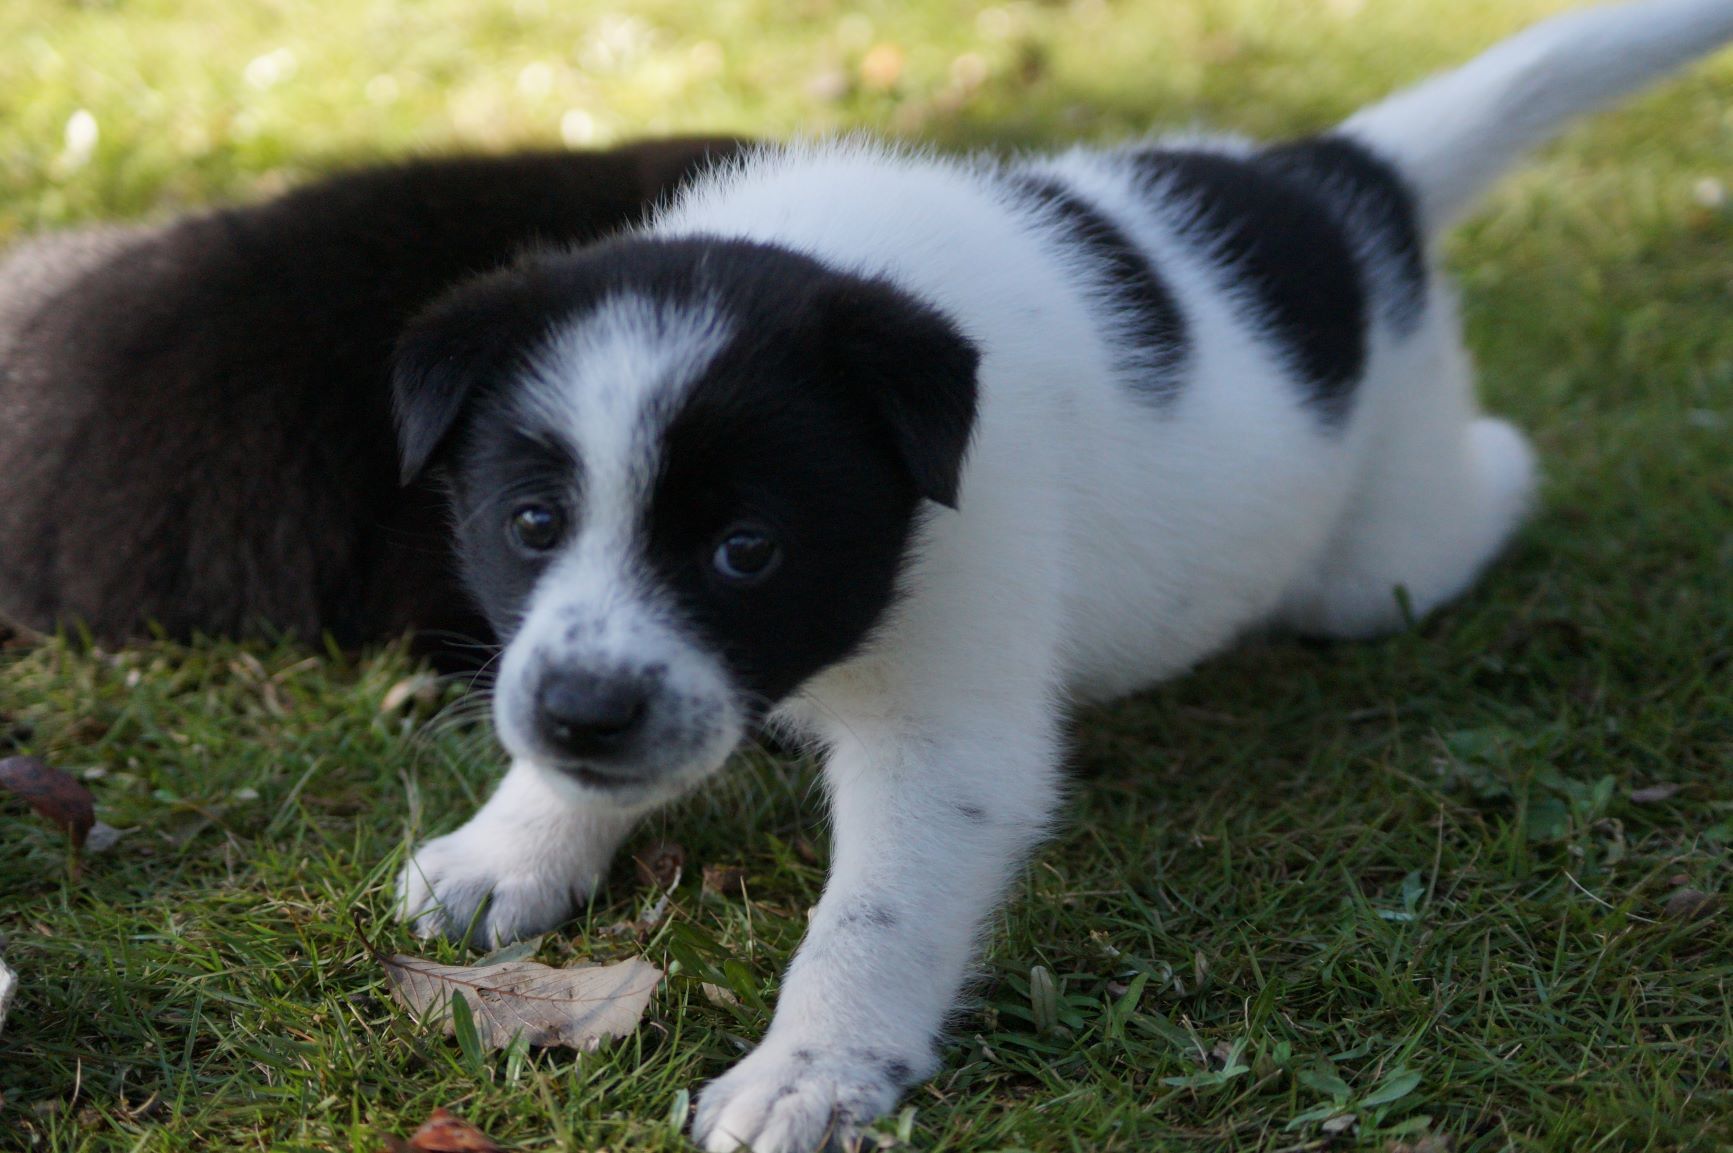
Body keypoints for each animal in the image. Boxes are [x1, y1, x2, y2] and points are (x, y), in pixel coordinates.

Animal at [393, 4, 1733, 1144]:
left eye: (746, 551)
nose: (586, 715)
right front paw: (509, 849)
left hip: (1379, 557)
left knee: (1477, 483)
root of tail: (1343, 182)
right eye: (529, 522)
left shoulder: (947, 727)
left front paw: (809, 1071)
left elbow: (871, 917)